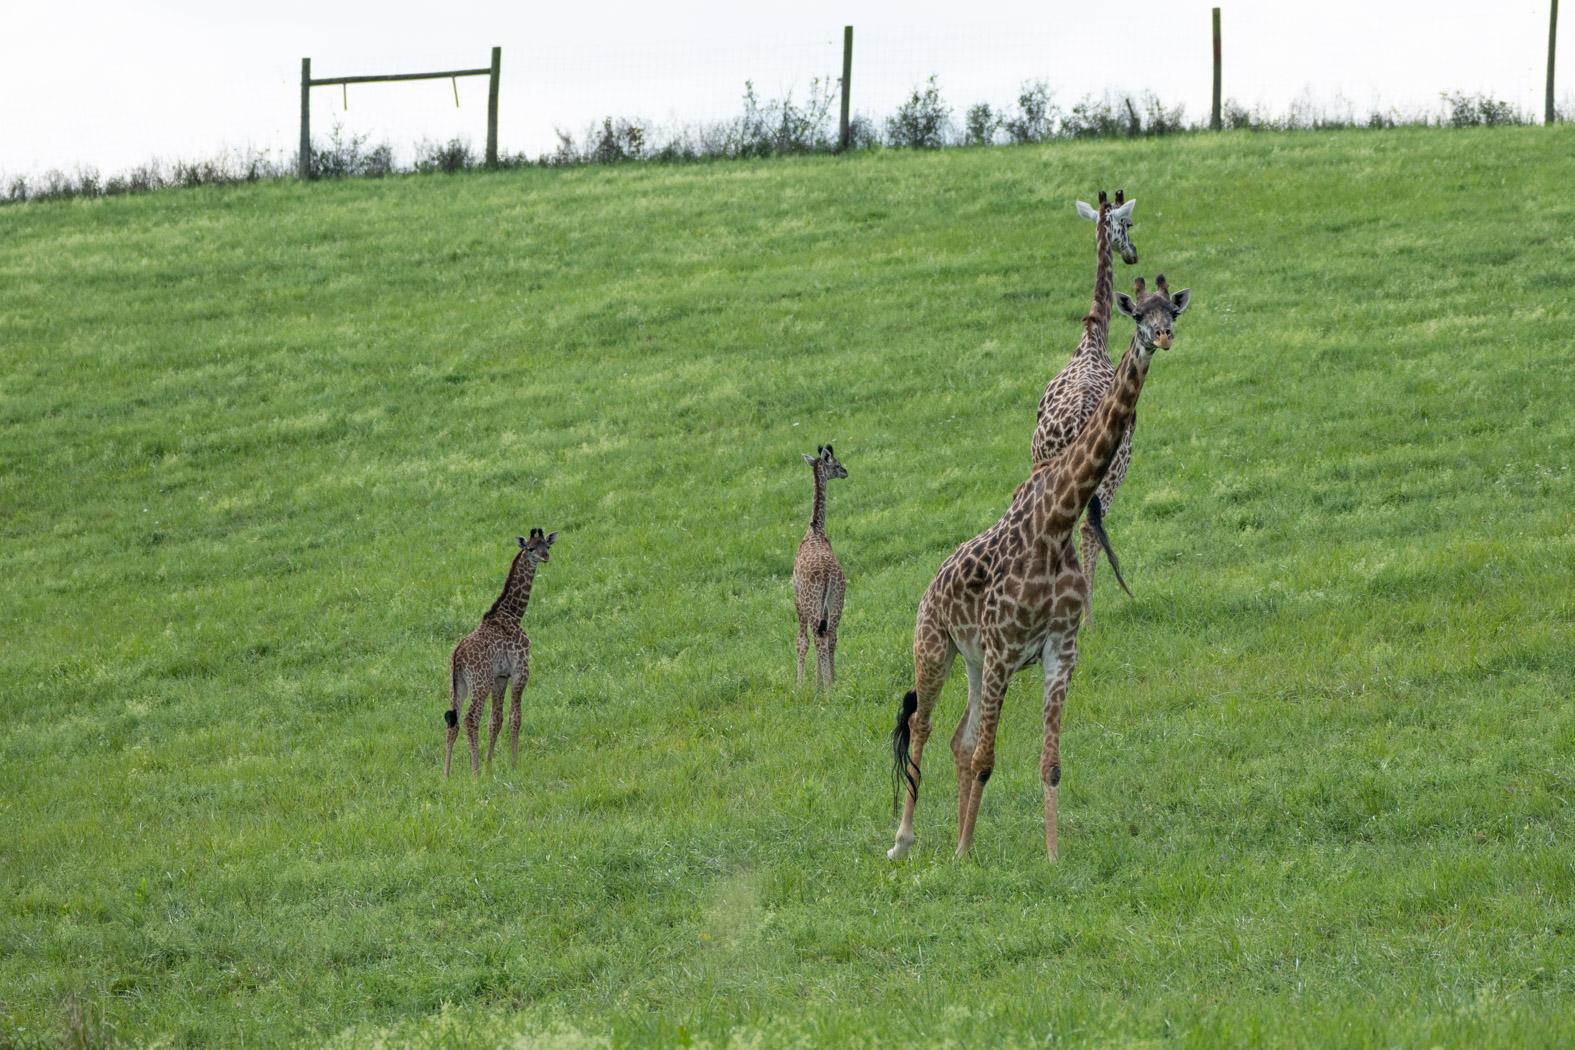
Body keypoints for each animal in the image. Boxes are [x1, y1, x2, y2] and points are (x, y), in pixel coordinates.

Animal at [443, 528, 557, 778]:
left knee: (452, 721)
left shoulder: (500, 676)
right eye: (530, 548)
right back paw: (474, 772)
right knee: (470, 718)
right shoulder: (520, 670)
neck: (513, 613)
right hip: (480, 681)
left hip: (458, 684)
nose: (545, 557)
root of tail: (457, 656)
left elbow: (496, 720)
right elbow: (515, 717)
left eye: (547, 546)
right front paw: (513, 764)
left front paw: (489, 764)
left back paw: (446, 775)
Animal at [888, 275, 1190, 861]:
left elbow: (1049, 764)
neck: (1057, 521)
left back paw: (953, 835)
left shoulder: (1058, 651)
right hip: (935, 647)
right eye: (1139, 313)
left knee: (958, 738)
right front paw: (963, 854)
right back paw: (904, 839)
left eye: (1173, 311)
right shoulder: (1006, 646)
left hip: (974, 660)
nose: (1162, 337)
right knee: (923, 723)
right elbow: (987, 759)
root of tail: (931, 585)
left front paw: (1049, 857)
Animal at [1031, 190, 1141, 620]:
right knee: (1087, 528)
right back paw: (1088, 612)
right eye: (1128, 223)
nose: (1133, 254)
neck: (1094, 335)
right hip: (1107, 476)